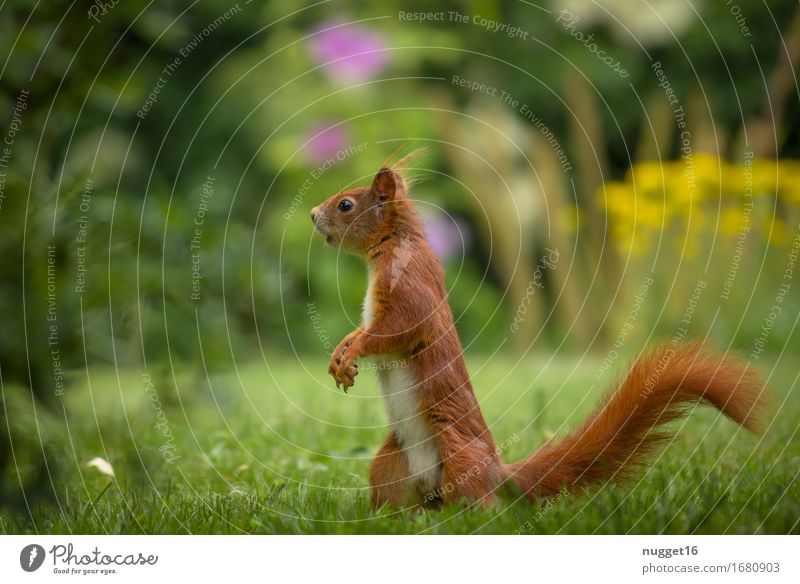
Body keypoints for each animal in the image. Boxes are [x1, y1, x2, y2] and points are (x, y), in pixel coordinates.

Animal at [310, 157, 768, 508]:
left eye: (346, 204)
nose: (313, 215)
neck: (391, 244)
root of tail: (499, 474)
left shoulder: (411, 288)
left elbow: (397, 331)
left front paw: (353, 353)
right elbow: (363, 329)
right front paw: (340, 354)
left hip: (459, 456)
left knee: (480, 503)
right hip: (391, 464)